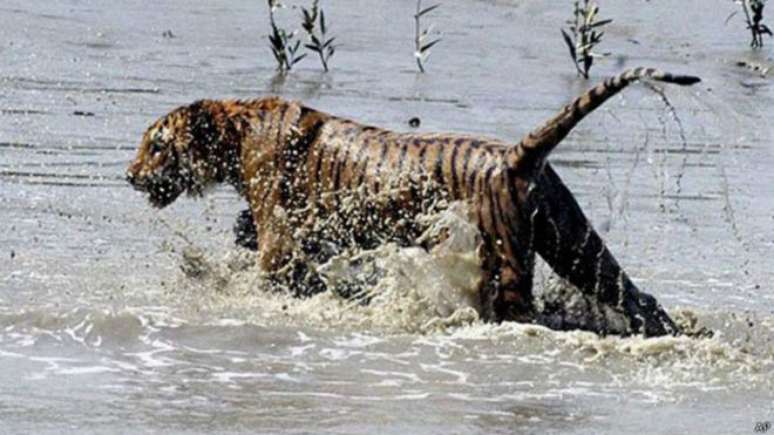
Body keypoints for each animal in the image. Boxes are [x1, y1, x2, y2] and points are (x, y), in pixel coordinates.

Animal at [129, 67, 704, 338]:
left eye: (155, 144)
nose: (129, 175)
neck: (236, 130)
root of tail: (517, 155)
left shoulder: (280, 237)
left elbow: (269, 269)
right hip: (577, 245)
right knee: (639, 296)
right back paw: (680, 331)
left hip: (511, 261)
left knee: (524, 314)